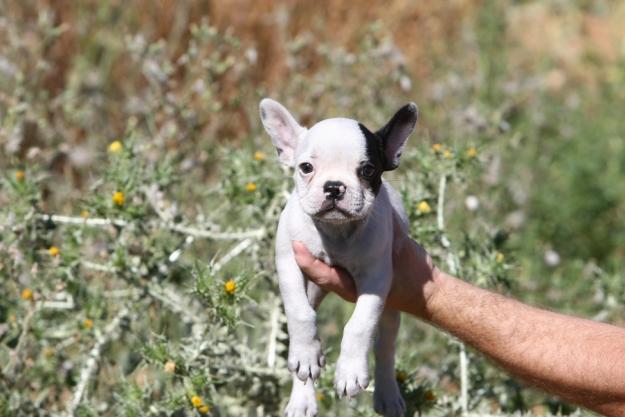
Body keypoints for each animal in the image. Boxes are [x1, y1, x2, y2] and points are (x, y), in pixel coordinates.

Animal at [258, 98, 420, 416]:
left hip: (391, 310)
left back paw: (387, 394)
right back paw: (302, 395)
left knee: (385, 348)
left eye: (368, 170)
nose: (334, 186)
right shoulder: (289, 262)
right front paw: (307, 354)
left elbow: (360, 323)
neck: (336, 232)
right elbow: (300, 312)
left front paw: (350, 372)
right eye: (306, 167)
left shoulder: (377, 277)